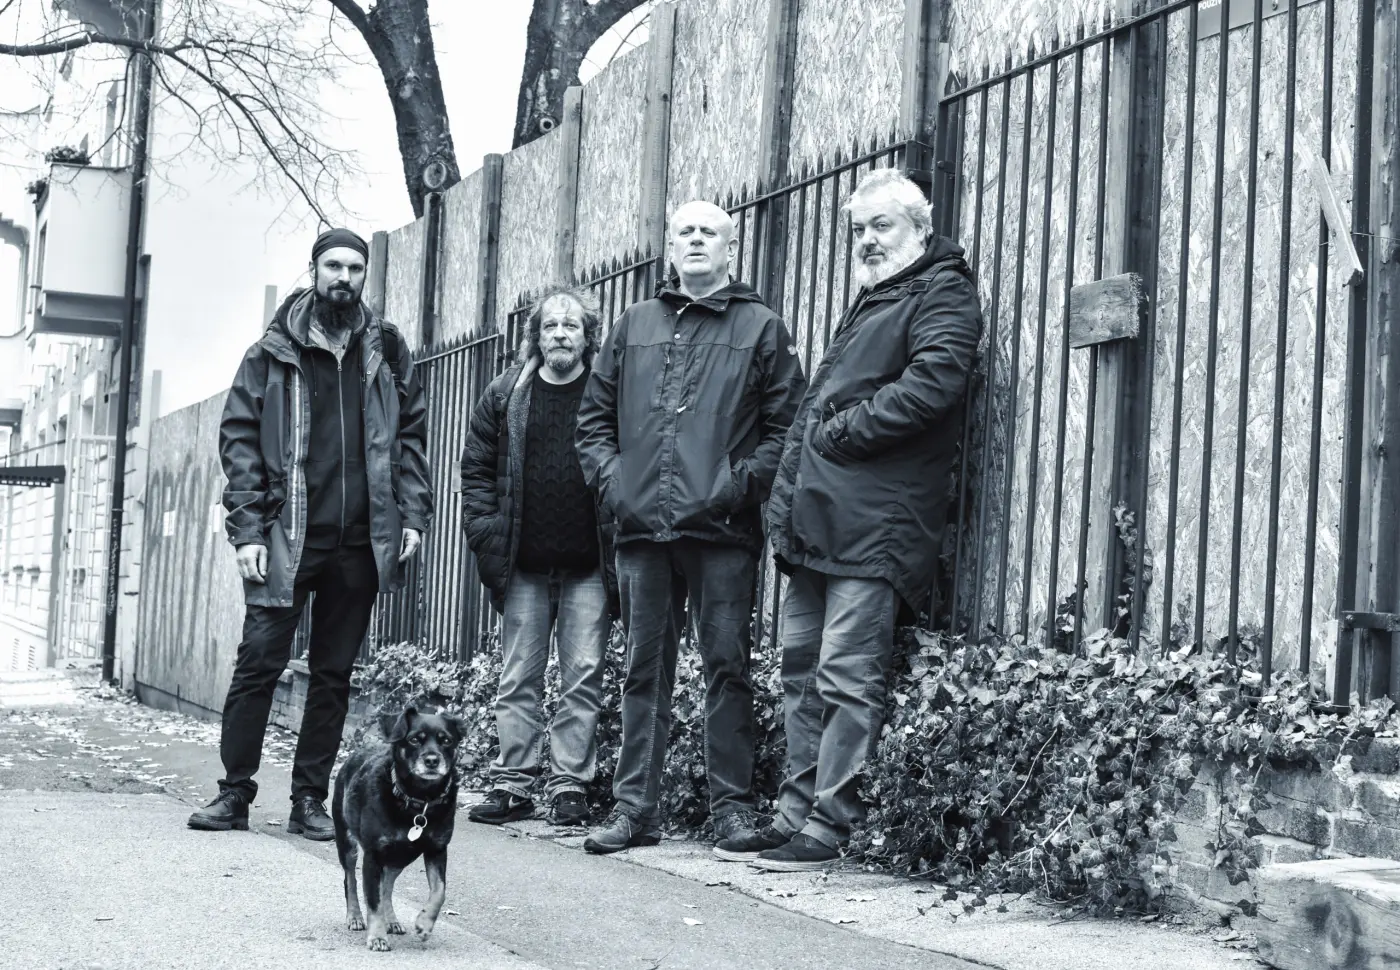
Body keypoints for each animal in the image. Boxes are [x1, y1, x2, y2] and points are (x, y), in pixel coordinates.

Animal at [332, 704, 465, 951]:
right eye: (414, 740)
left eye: (446, 740)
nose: (432, 760)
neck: (420, 800)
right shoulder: (373, 855)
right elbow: (372, 899)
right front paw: (377, 937)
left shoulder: (437, 850)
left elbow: (439, 891)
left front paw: (424, 924)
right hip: (347, 842)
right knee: (351, 880)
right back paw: (355, 917)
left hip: (402, 856)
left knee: (387, 886)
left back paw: (391, 920)